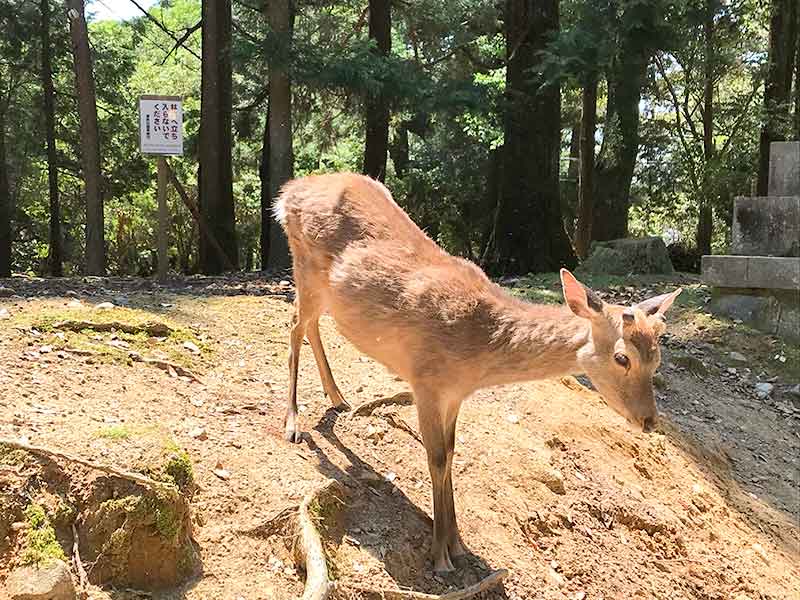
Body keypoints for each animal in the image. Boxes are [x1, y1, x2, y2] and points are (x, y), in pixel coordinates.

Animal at [276, 172, 680, 572]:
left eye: (657, 359)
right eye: (622, 358)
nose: (649, 420)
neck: (477, 354)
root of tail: (287, 193)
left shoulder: (455, 394)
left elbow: (452, 453)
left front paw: (457, 544)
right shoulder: (424, 380)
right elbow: (436, 457)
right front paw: (439, 555)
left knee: (311, 325)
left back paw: (338, 397)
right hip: (304, 267)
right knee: (295, 324)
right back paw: (293, 424)